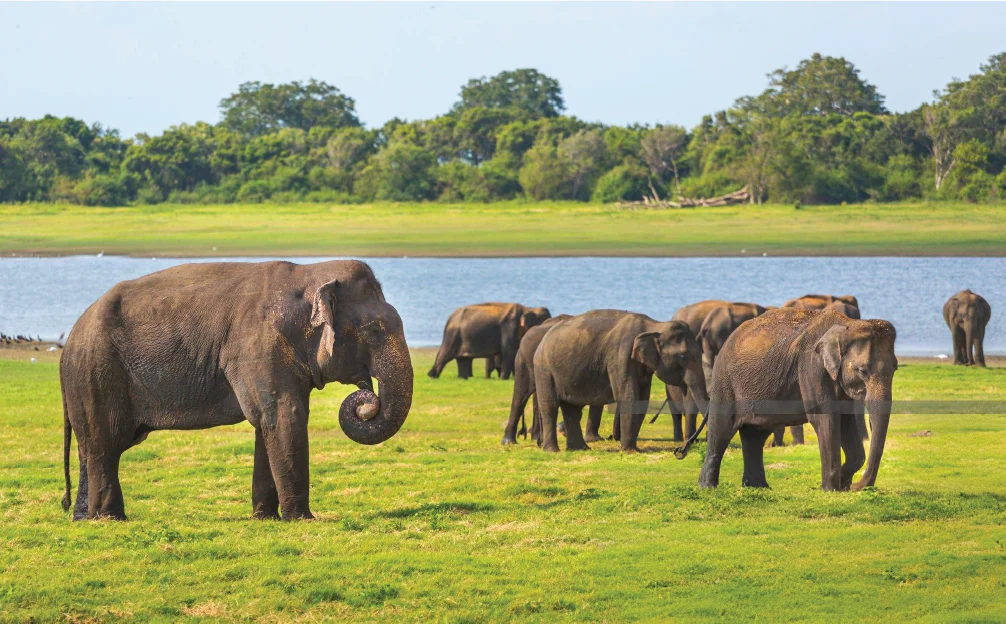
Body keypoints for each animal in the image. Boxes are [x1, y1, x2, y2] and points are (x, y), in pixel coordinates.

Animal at [59, 259, 412, 523]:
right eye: (375, 331)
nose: (367, 401)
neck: (309, 273)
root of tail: (70, 339)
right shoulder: (258, 347)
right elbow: (285, 416)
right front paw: (302, 520)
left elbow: (266, 424)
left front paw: (265, 518)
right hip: (98, 375)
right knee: (106, 444)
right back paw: (110, 518)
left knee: (90, 448)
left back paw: (84, 517)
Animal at [535, 309, 708, 452]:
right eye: (682, 357)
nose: (681, 449)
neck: (654, 325)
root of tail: (542, 340)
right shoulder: (620, 357)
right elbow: (628, 396)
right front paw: (629, 450)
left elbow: (642, 399)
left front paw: (634, 449)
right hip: (544, 369)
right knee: (550, 406)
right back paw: (552, 451)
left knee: (572, 409)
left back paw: (580, 449)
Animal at [696, 307, 901, 493]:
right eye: (862, 371)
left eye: (895, 369)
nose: (856, 487)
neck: (846, 324)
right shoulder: (811, 366)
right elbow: (825, 418)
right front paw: (829, 490)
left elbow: (845, 421)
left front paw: (842, 484)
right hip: (724, 381)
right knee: (721, 430)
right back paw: (708, 487)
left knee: (755, 434)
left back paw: (758, 488)